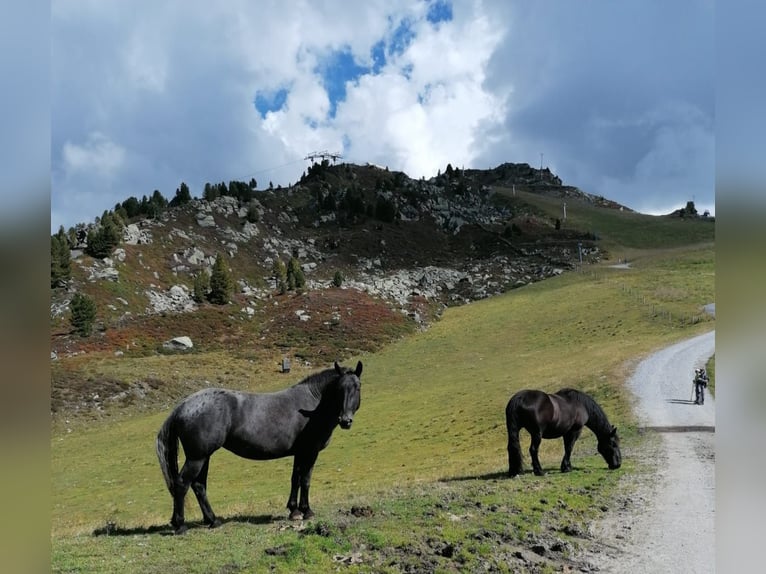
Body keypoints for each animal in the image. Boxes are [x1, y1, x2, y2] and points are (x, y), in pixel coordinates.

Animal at [155, 360, 364, 536]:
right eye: (339, 389)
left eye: (357, 387)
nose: (345, 420)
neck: (313, 405)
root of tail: (183, 406)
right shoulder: (309, 452)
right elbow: (305, 480)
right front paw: (307, 511)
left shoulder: (299, 453)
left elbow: (295, 479)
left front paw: (294, 510)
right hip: (197, 457)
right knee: (182, 484)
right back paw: (181, 525)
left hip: (203, 457)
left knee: (199, 486)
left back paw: (212, 520)